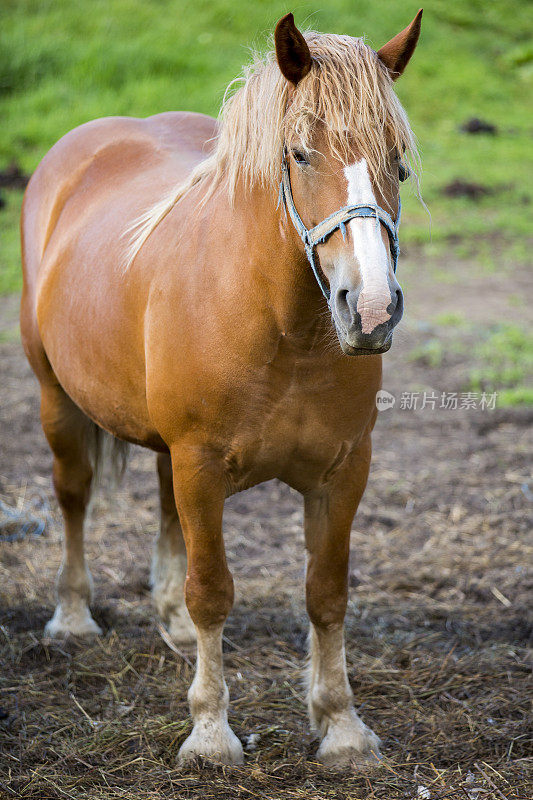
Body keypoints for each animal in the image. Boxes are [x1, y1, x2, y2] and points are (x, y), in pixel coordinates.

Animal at [19, 9, 420, 764]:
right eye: (299, 154)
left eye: (399, 161)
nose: (372, 309)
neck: (283, 330)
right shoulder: (201, 465)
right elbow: (213, 592)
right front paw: (209, 733)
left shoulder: (343, 471)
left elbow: (326, 594)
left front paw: (341, 726)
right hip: (57, 399)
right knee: (74, 495)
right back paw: (73, 615)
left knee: (162, 507)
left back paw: (169, 622)